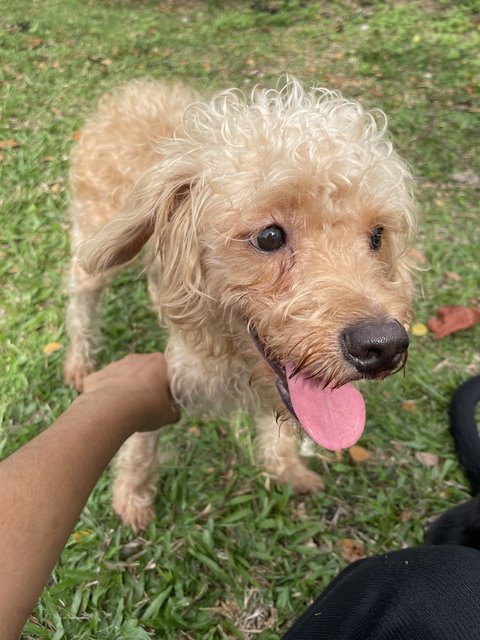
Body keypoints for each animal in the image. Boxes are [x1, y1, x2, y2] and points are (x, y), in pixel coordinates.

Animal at [63, 77, 416, 532]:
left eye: (376, 235)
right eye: (269, 236)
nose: (384, 346)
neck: (231, 357)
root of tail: (135, 91)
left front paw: (287, 469)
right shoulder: (169, 382)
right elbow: (139, 440)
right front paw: (132, 496)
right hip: (93, 247)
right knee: (80, 302)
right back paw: (78, 361)